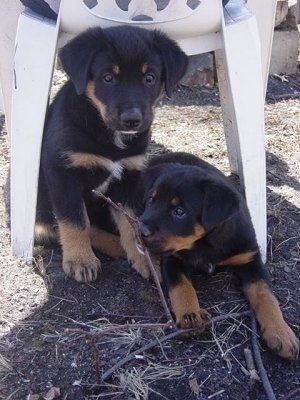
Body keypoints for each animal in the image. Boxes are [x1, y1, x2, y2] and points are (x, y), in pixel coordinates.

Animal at [35, 25, 188, 282]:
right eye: (108, 77)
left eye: (149, 78)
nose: (132, 120)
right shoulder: (63, 172)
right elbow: (75, 220)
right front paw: (80, 260)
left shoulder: (129, 176)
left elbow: (132, 224)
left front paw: (144, 259)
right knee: (60, 227)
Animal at [135, 152, 298, 360]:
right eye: (151, 199)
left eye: (179, 212)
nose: (141, 230)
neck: (205, 244)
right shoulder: (172, 259)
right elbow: (181, 286)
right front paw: (190, 315)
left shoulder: (250, 259)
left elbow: (266, 296)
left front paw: (281, 333)